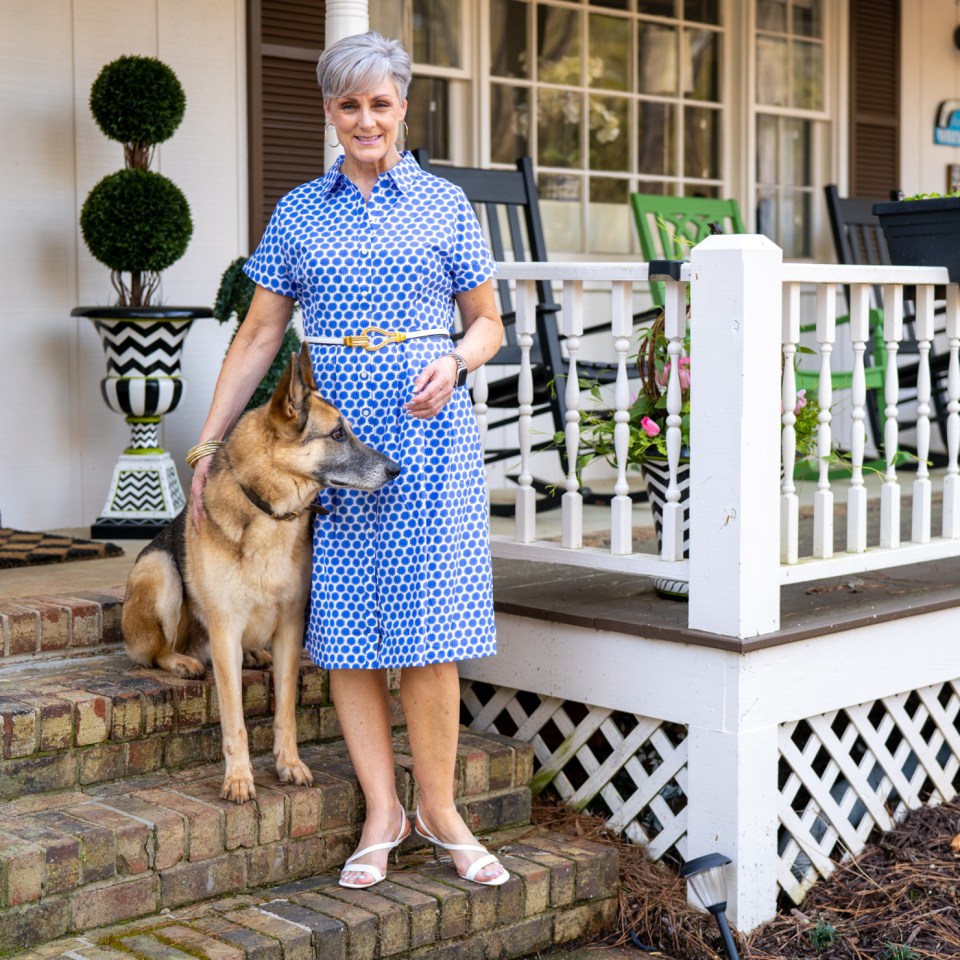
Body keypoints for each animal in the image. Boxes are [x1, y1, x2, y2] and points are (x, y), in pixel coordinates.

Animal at [122, 346, 400, 803]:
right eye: (337, 435)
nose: (396, 470)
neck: (270, 512)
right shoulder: (224, 629)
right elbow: (234, 718)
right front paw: (238, 777)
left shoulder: (289, 626)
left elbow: (285, 707)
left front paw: (289, 763)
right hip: (160, 572)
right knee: (155, 652)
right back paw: (182, 661)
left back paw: (252, 653)